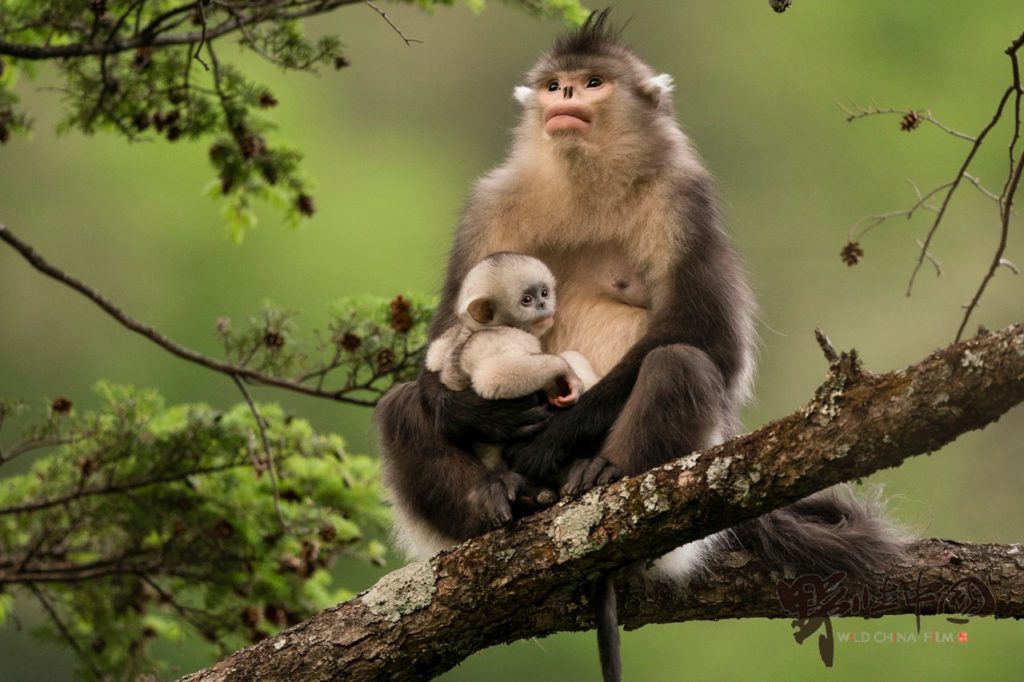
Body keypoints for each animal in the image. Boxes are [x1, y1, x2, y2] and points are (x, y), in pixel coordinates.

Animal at [376, 6, 905, 675]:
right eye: (555, 84)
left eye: (594, 81)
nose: (566, 97)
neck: (586, 180)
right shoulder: (486, 205)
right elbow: (446, 341)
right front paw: (473, 413)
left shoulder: (686, 199)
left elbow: (710, 341)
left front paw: (550, 439)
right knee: (400, 406)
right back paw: (495, 499)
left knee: (679, 364)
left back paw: (599, 473)